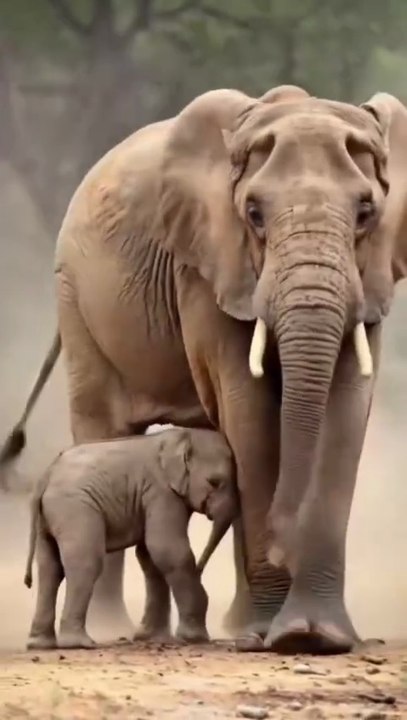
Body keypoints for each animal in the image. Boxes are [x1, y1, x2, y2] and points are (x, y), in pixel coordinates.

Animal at [24, 427, 237, 650]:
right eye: (214, 482)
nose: (200, 569)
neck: (182, 436)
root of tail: (46, 476)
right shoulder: (161, 492)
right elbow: (167, 549)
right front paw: (194, 638)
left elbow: (149, 556)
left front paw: (152, 638)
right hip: (74, 508)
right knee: (85, 563)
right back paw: (80, 644)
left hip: (49, 517)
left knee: (50, 569)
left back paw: (40, 644)